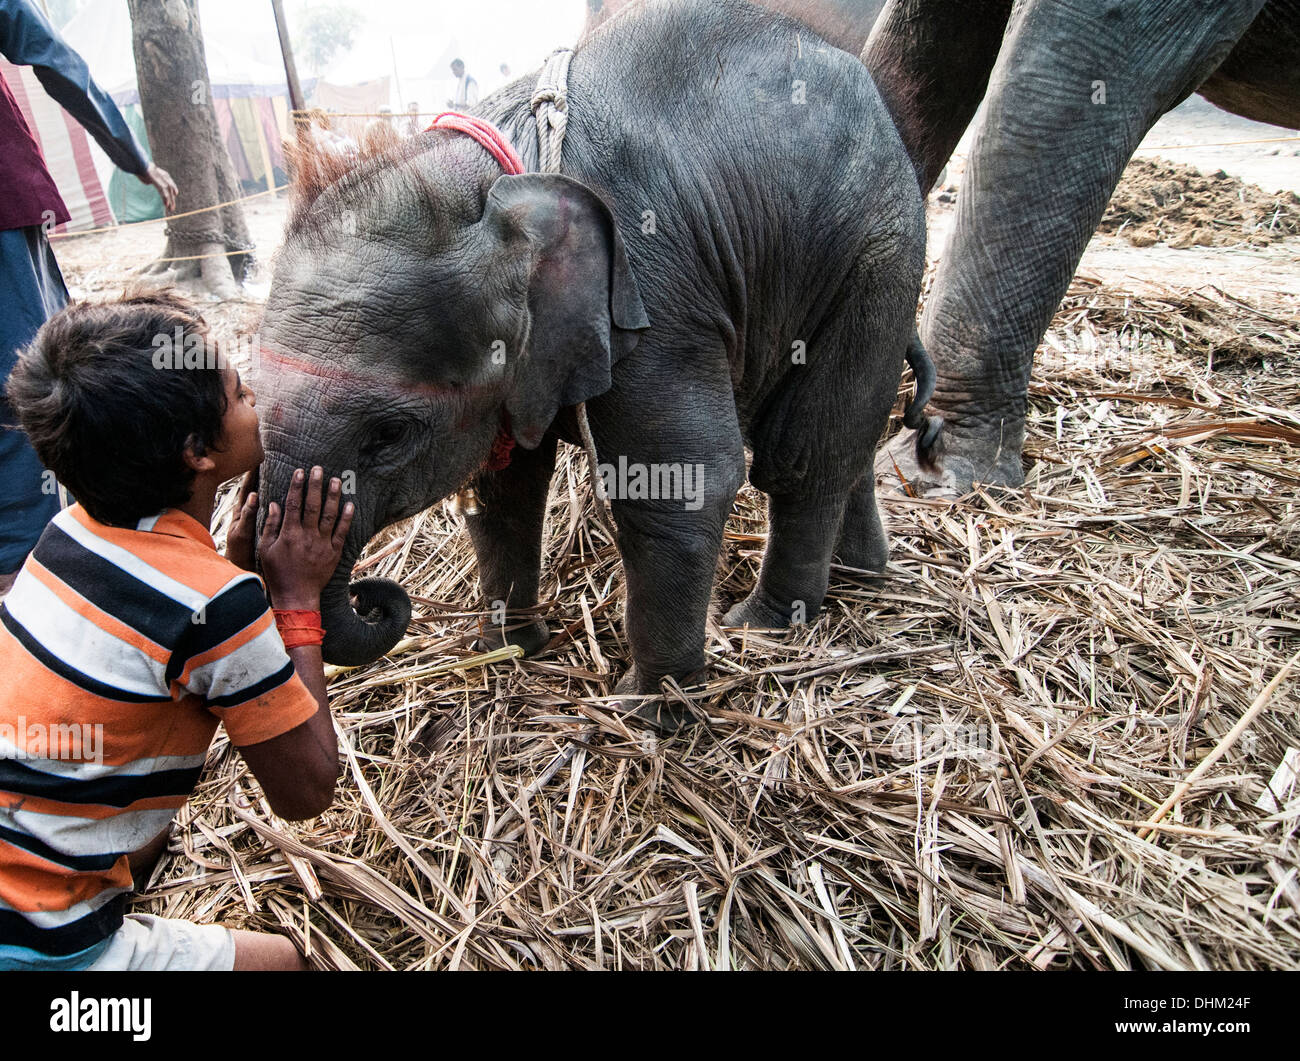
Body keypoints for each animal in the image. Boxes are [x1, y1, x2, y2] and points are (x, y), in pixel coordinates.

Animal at [255, 0, 933, 724]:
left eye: (388, 435)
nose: (376, 597)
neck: (503, 174)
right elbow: (505, 488)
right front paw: (510, 650)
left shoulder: (656, 298)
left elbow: (684, 480)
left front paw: (647, 711)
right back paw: (861, 578)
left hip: (878, 254)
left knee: (803, 451)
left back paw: (765, 625)